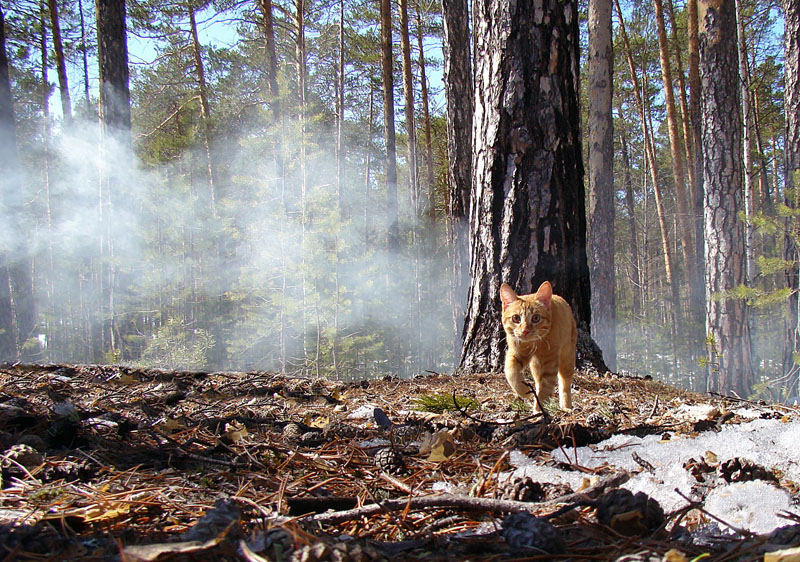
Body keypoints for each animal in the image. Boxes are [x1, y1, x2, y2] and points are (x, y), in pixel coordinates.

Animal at [500, 280, 576, 412]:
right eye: (516, 318)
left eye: (536, 318)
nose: (525, 331)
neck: (533, 344)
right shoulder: (514, 354)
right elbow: (511, 373)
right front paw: (524, 391)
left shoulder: (550, 364)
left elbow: (545, 388)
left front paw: (539, 410)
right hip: (536, 366)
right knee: (537, 381)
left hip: (567, 359)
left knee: (565, 384)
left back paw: (566, 407)